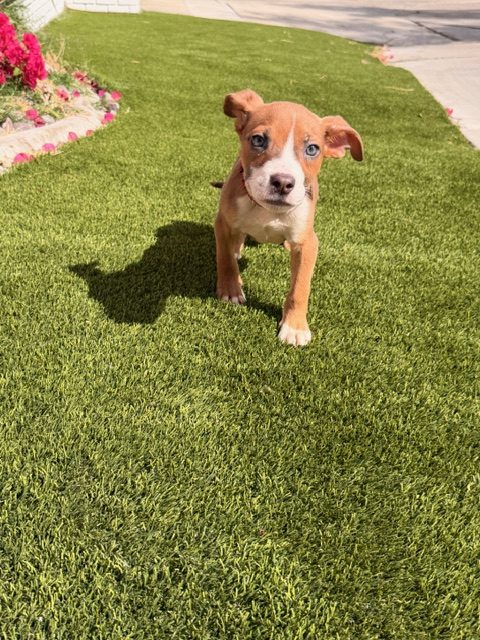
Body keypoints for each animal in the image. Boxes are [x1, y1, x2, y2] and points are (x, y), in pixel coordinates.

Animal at [214, 89, 363, 346]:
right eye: (258, 140)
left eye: (312, 149)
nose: (282, 182)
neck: (266, 211)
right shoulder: (222, 222)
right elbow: (225, 258)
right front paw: (231, 290)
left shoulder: (307, 242)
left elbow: (300, 288)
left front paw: (294, 327)